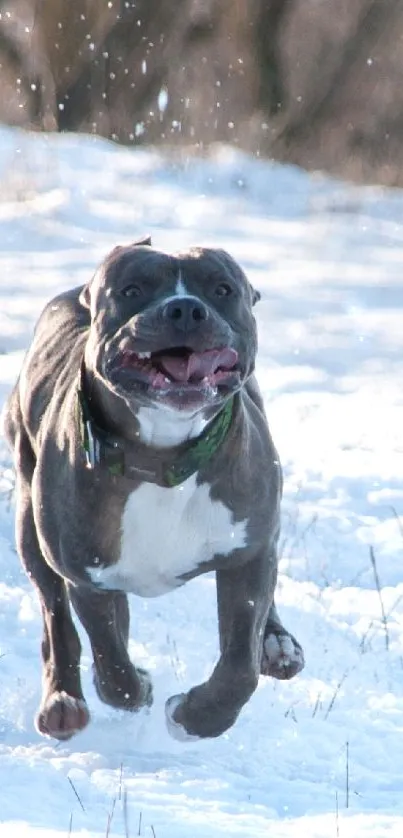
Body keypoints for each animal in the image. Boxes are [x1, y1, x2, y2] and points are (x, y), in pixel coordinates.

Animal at [2, 238, 304, 740]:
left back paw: (278, 645)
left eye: (222, 289)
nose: (184, 309)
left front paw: (196, 719)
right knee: (56, 618)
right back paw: (63, 702)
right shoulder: (88, 576)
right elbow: (109, 656)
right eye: (132, 290)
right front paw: (135, 687)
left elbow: (240, 665)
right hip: (30, 523)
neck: (163, 457)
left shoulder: (248, 553)